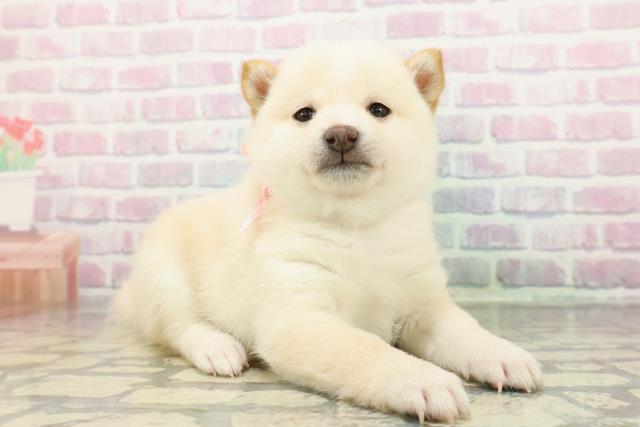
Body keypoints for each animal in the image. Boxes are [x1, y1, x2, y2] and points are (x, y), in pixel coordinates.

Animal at [115, 41, 542, 422]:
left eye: (378, 109)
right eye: (305, 114)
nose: (340, 134)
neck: (356, 226)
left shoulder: (424, 305)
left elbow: (466, 331)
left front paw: (502, 354)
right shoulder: (299, 315)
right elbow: (364, 349)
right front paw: (421, 380)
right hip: (165, 273)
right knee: (178, 326)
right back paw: (217, 348)